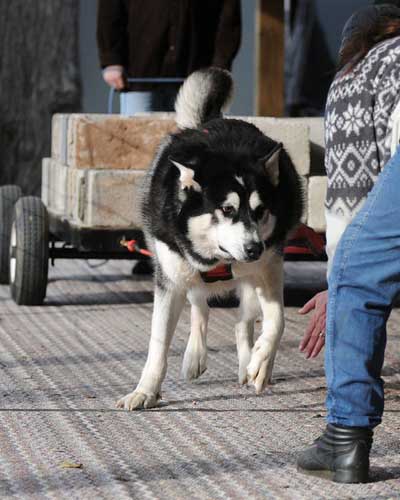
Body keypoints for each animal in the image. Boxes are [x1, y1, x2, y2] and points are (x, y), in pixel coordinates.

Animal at [117, 67, 302, 410]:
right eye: (227, 209)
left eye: (260, 210)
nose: (253, 248)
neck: (220, 259)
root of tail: (213, 119)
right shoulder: (171, 276)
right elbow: (158, 343)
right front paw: (145, 390)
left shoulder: (270, 266)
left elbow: (277, 320)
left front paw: (261, 361)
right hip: (185, 273)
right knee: (199, 305)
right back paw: (195, 356)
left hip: (252, 279)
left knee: (243, 321)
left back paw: (248, 361)